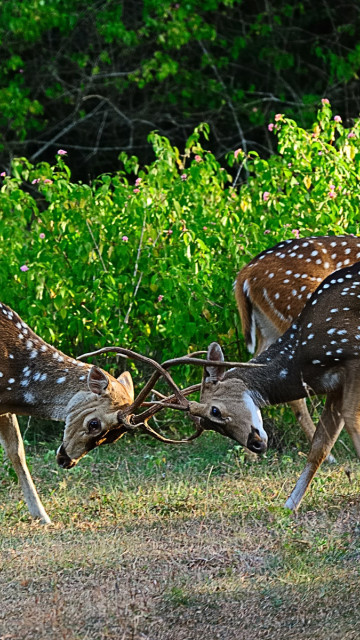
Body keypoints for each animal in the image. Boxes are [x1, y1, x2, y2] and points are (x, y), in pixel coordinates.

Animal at [0, 302, 204, 524]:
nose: (66, 461)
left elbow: (17, 451)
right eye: (94, 424)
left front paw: (43, 516)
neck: (15, 378)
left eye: (113, 438)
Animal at [184, 262, 360, 510]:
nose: (255, 444)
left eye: (215, 410)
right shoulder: (336, 383)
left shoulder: (353, 355)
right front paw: (289, 506)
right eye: (210, 426)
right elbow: (320, 445)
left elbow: (352, 420)